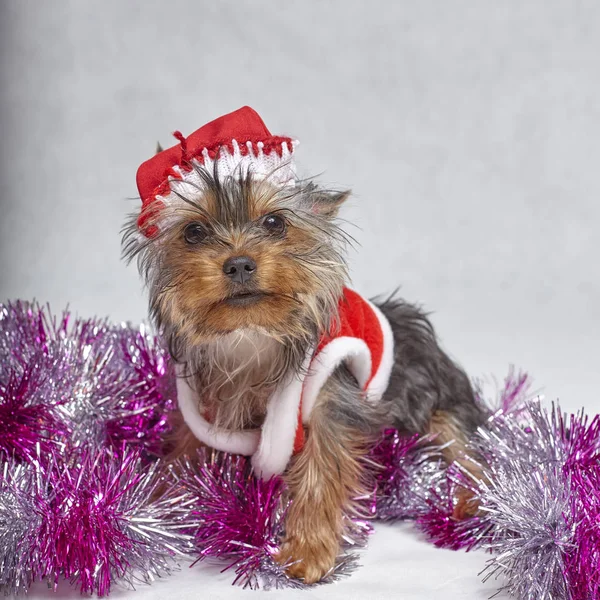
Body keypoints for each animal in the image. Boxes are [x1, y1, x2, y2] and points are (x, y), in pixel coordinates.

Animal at [123, 106, 488, 580]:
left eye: (274, 222)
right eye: (193, 232)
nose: (239, 263)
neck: (252, 334)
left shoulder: (333, 398)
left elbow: (322, 470)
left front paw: (307, 552)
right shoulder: (198, 409)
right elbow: (184, 450)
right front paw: (155, 504)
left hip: (435, 399)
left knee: (465, 448)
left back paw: (471, 501)